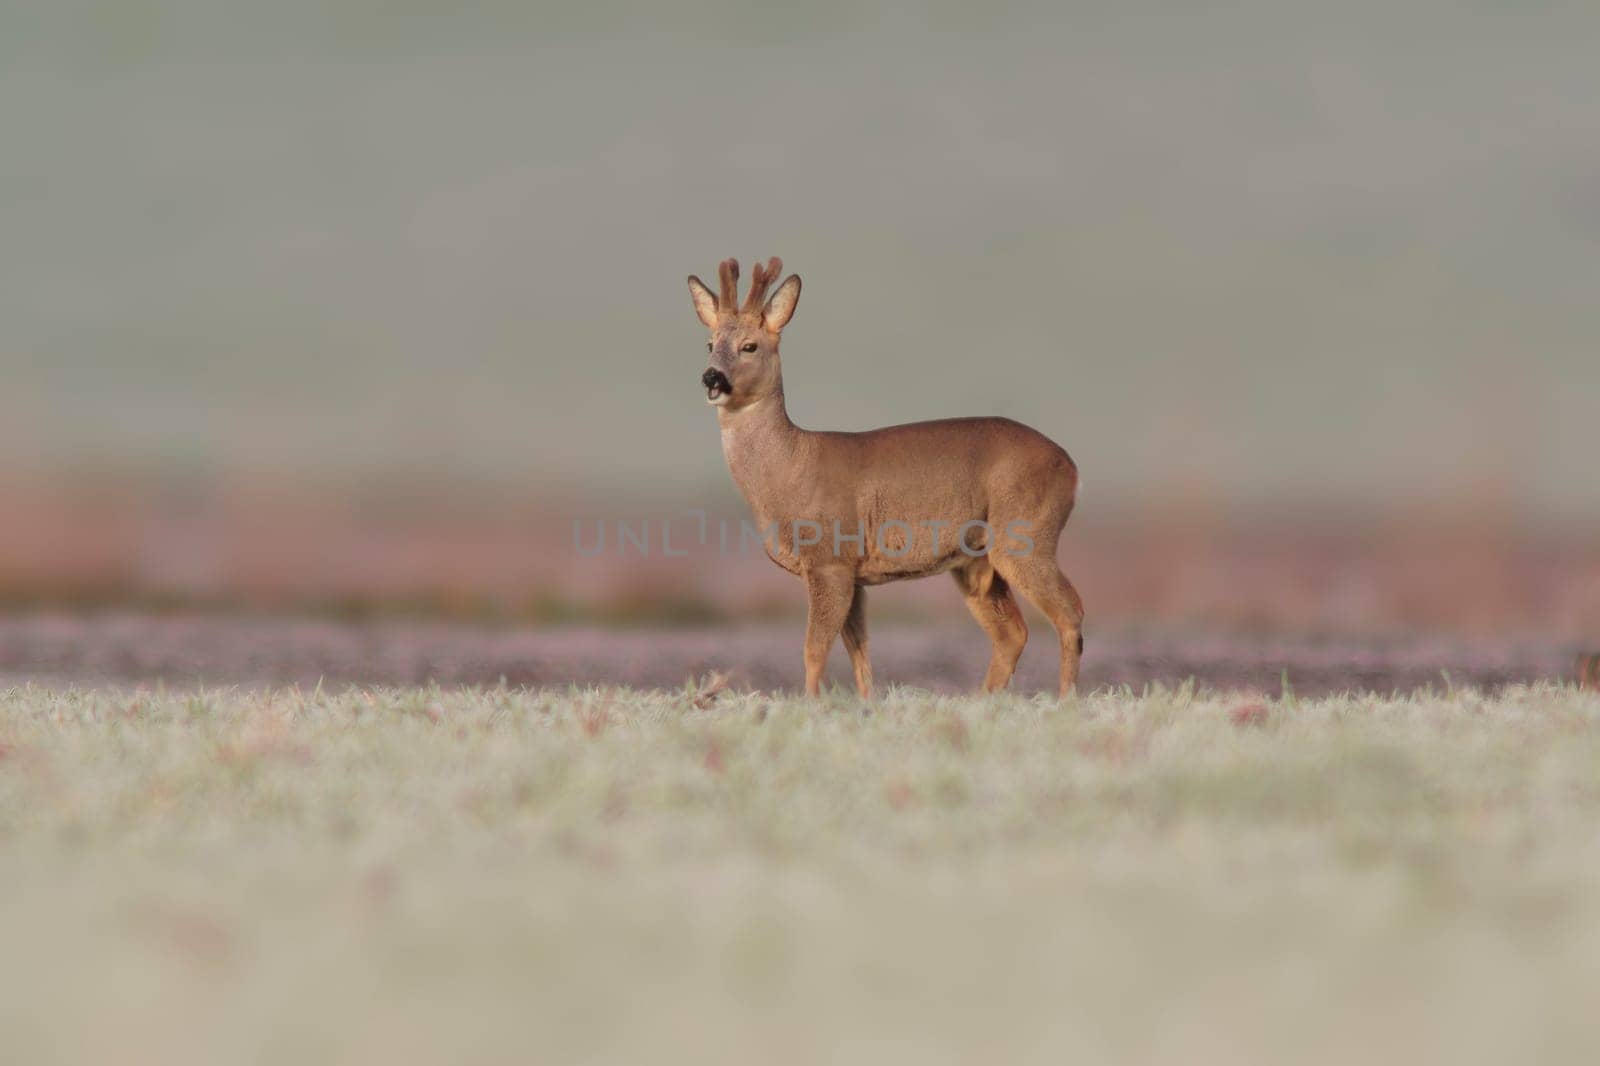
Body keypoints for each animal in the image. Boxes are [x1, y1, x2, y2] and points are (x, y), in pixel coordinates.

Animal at [691, 252, 1088, 694]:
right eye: (710, 344)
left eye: (749, 345)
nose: (712, 378)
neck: (788, 469)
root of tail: (1070, 465)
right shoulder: (853, 573)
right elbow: (860, 652)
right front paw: (866, 703)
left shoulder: (830, 559)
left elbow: (814, 649)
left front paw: (811, 702)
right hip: (975, 561)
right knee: (1012, 633)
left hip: (1025, 534)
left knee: (1070, 613)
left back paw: (1065, 698)